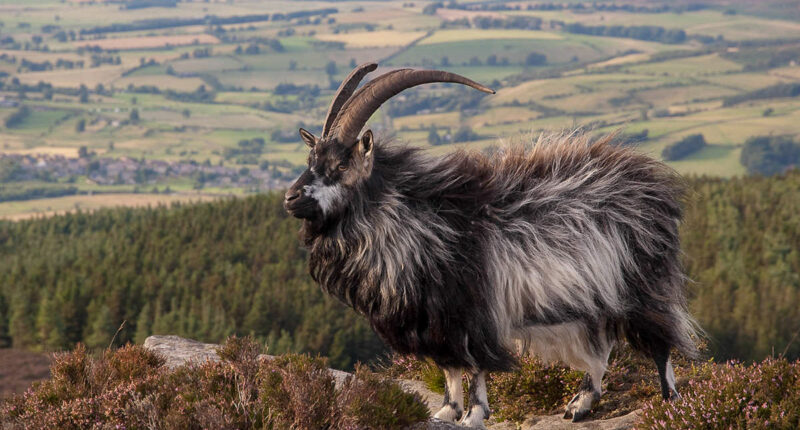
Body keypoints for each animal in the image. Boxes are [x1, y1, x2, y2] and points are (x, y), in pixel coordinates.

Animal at [284, 63, 696, 426]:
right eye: (310, 159)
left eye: (340, 166)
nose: (290, 197)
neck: (416, 223)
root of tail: (654, 188)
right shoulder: (436, 318)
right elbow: (449, 367)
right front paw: (446, 411)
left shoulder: (469, 311)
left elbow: (475, 366)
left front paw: (474, 414)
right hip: (597, 294)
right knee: (603, 342)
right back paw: (580, 403)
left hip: (641, 282)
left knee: (659, 342)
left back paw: (669, 403)